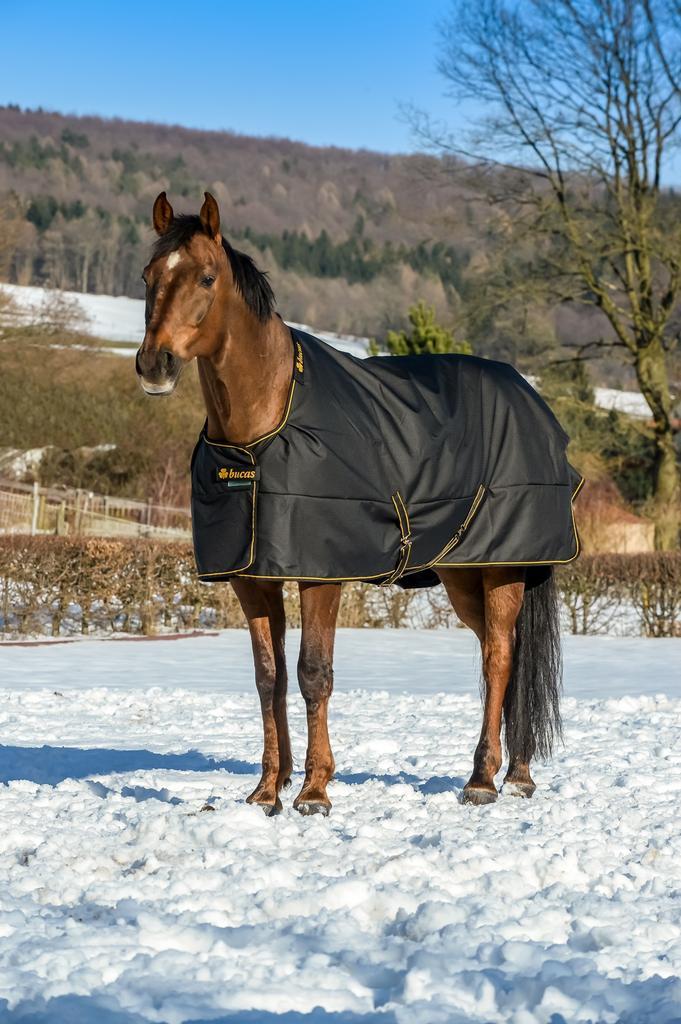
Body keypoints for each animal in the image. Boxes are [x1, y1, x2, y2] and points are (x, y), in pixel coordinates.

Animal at [135, 190, 577, 815]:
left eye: (205, 276)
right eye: (148, 276)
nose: (155, 365)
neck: (261, 431)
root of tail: (531, 400)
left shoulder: (321, 575)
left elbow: (313, 672)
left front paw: (315, 791)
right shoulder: (252, 578)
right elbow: (268, 676)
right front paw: (266, 791)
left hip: (502, 569)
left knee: (499, 656)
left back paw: (484, 780)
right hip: (462, 576)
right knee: (505, 657)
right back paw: (517, 773)